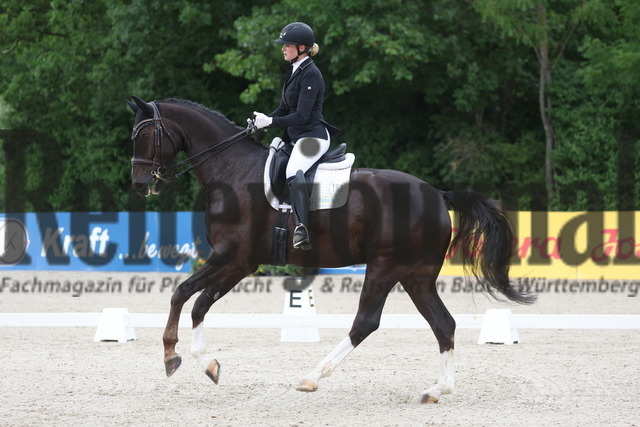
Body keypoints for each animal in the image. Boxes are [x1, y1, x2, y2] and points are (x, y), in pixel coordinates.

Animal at [126, 95, 536, 402]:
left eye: (143, 137)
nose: (140, 184)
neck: (231, 170)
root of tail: (438, 194)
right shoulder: (241, 263)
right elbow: (199, 302)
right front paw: (205, 364)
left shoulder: (233, 257)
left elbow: (183, 294)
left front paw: (172, 354)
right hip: (416, 276)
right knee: (442, 323)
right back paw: (437, 389)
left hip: (384, 267)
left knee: (366, 322)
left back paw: (311, 377)